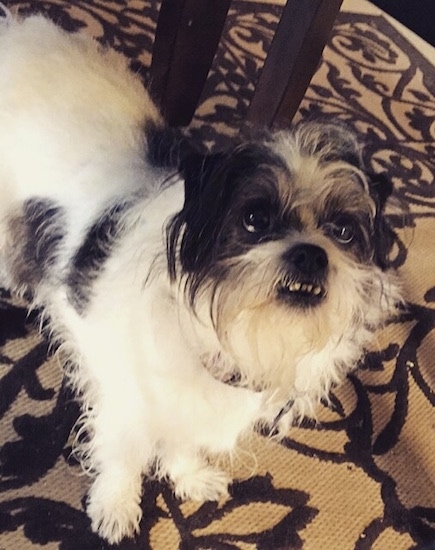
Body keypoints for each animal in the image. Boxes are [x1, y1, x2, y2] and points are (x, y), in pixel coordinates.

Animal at [0, 14, 402, 548]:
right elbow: (124, 453)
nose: (312, 255)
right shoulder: (126, 399)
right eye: (254, 218)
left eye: (342, 231)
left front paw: (189, 477)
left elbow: (184, 442)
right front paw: (115, 506)